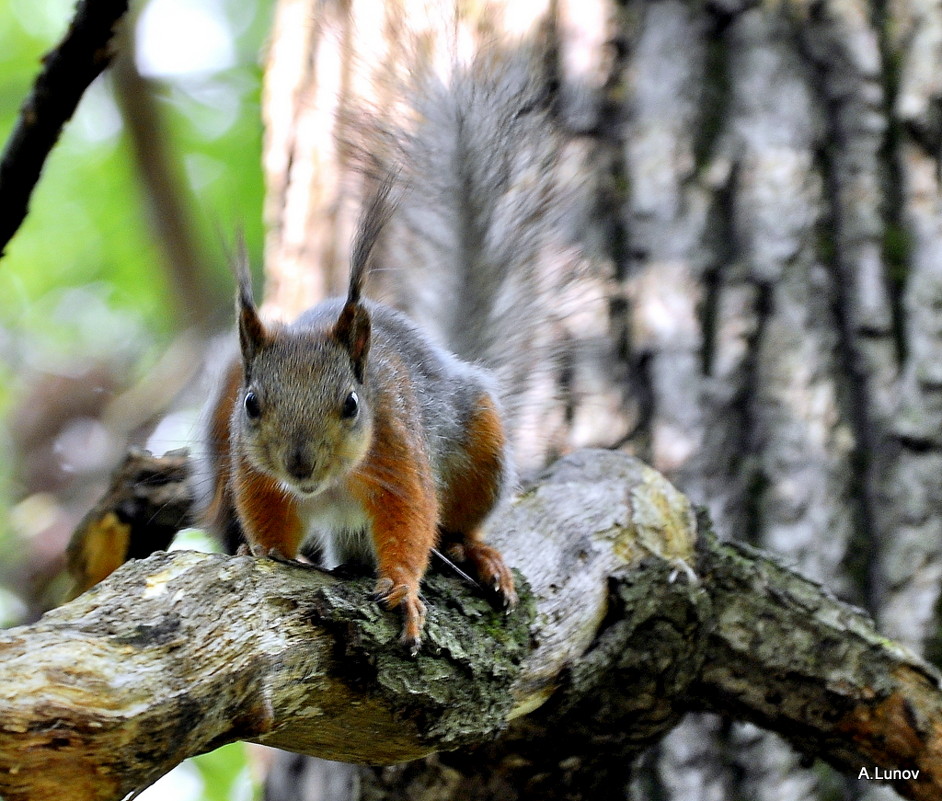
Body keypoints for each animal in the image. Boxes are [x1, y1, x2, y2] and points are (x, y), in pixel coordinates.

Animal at [200, 180, 520, 648]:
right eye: (251, 403)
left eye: (351, 403)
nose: (300, 465)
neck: (330, 484)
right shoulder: (251, 469)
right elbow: (267, 516)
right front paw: (263, 551)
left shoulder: (396, 448)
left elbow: (410, 517)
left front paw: (402, 588)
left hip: (483, 450)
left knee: (463, 525)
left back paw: (476, 552)